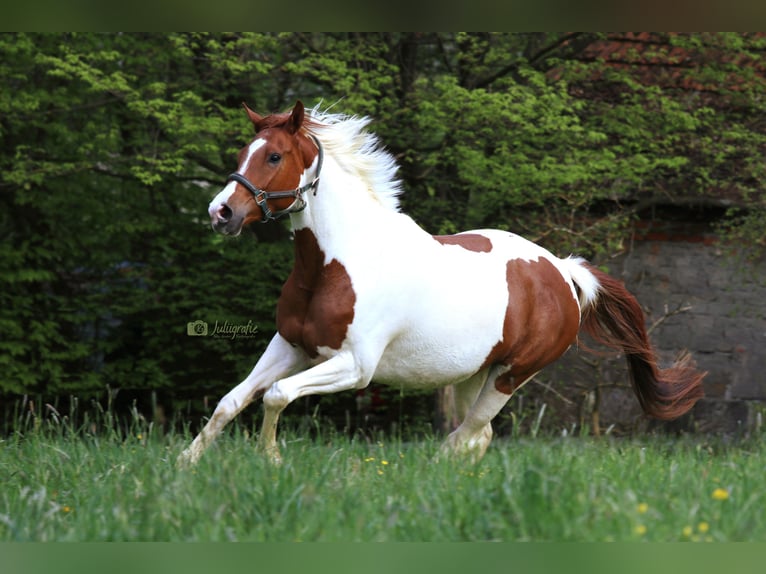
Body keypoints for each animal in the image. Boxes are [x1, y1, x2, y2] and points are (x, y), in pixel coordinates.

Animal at [178, 100, 705, 466]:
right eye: (242, 152)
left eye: (273, 156)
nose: (220, 213)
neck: (337, 265)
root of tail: (562, 270)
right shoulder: (290, 347)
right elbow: (231, 401)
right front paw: (185, 464)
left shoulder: (355, 367)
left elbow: (276, 396)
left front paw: (271, 459)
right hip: (475, 374)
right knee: (478, 437)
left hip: (511, 375)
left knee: (465, 436)